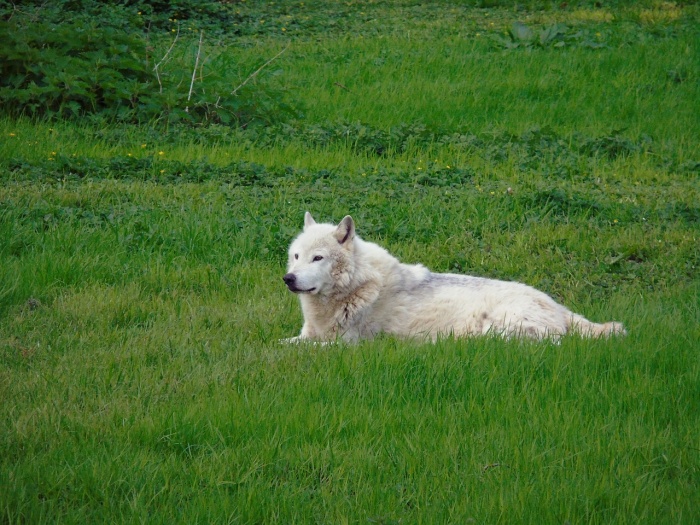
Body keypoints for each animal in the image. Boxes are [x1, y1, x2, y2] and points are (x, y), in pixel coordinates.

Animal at [282, 213, 628, 344]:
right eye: (296, 256)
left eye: (318, 258)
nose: (288, 279)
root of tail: (559, 308)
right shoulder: (310, 334)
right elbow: (282, 343)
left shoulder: (344, 344)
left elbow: (295, 349)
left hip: (498, 326)